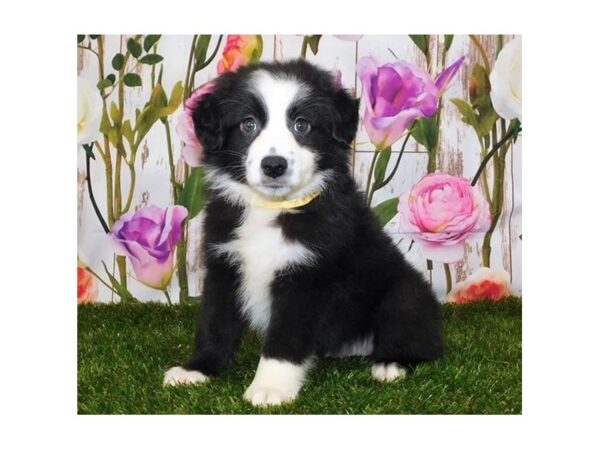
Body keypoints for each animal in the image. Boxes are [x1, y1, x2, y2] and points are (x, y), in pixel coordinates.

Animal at [162, 59, 442, 408]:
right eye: (248, 124)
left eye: (302, 125)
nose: (274, 165)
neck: (272, 209)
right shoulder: (224, 264)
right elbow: (215, 323)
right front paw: (198, 369)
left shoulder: (307, 276)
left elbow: (286, 337)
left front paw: (270, 387)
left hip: (404, 292)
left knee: (418, 337)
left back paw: (392, 364)